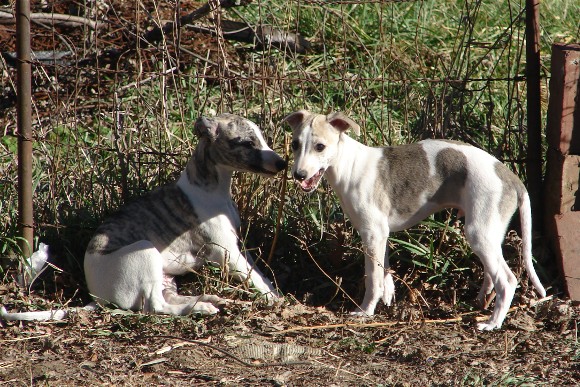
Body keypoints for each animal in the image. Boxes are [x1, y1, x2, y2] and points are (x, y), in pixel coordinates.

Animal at [1, 113, 286, 322]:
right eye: (247, 143)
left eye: (261, 138)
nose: (282, 163)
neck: (210, 188)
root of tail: (97, 296)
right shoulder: (227, 253)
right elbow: (256, 279)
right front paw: (275, 300)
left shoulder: (238, 247)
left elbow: (260, 274)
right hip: (144, 251)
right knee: (155, 307)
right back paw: (199, 308)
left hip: (164, 277)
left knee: (164, 300)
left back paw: (204, 300)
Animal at [284, 110, 548, 332]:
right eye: (295, 144)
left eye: (320, 146)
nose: (298, 175)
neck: (350, 166)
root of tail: (511, 177)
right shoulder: (380, 235)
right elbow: (385, 275)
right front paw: (388, 303)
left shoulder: (371, 234)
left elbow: (373, 280)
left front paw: (365, 311)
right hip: (490, 232)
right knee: (492, 274)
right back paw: (481, 303)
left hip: (479, 233)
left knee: (507, 280)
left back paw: (492, 323)